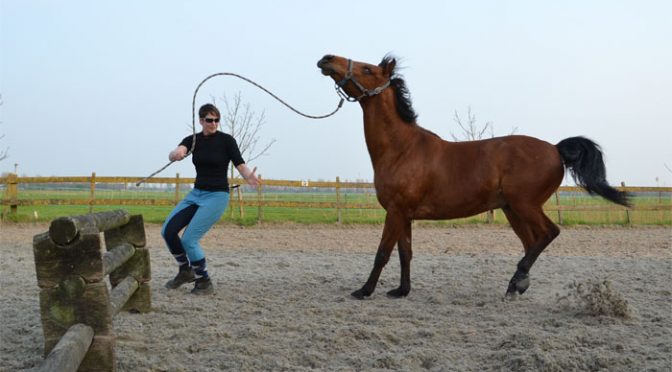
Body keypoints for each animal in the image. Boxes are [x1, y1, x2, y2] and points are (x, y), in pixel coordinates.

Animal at [316, 53, 632, 300]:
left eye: (367, 69)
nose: (326, 59)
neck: (402, 149)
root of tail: (555, 149)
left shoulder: (395, 211)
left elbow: (382, 253)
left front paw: (364, 291)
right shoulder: (404, 214)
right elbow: (405, 253)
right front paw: (401, 291)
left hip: (525, 205)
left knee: (548, 233)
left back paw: (516, 281)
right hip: (512, 209)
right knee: (532, 241)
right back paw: (517, 284)